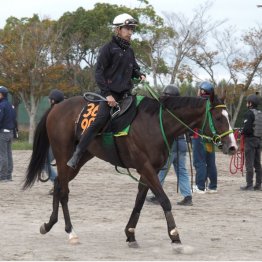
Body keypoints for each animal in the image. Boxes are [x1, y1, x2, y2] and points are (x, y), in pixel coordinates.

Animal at [23, 93, 238, 251]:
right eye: (219, 118)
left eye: (228, 117)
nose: (232, 147)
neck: (156, 123)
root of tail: (57, 107)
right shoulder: (146, 167)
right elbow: (164, 200)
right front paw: (175, 235)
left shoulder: (149, 170)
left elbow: (139, 202)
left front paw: (130, 233)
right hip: (63, 156)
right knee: (64, 191)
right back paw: (70, 232)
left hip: (78, 159)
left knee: (59, 185)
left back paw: (49, 224)